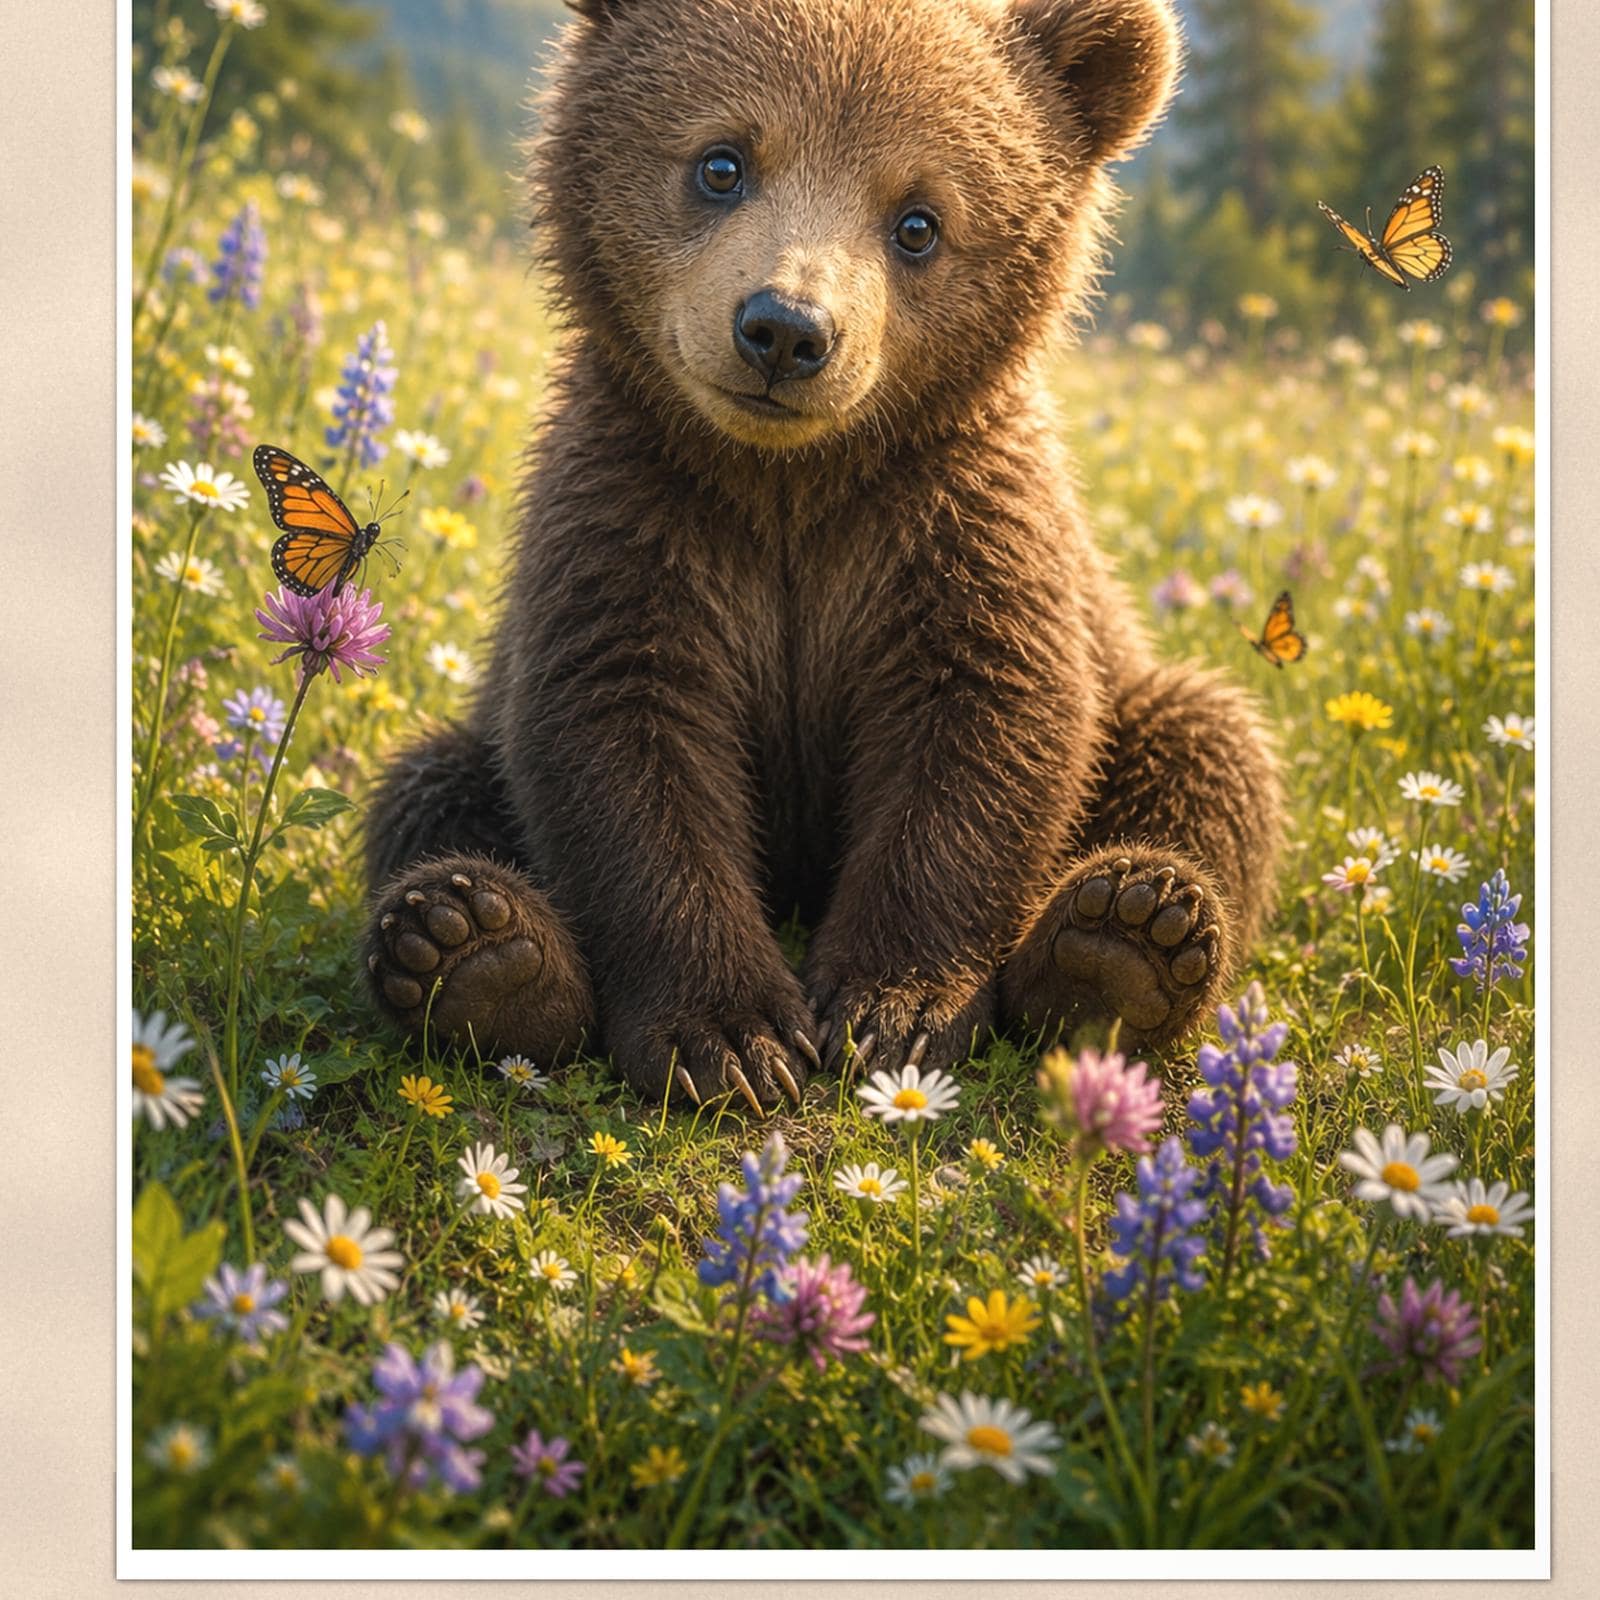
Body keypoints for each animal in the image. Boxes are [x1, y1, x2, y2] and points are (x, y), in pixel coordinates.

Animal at [362, 0, 1284, 1114]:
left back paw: (1126, 937)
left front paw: (893, 1010)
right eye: (721, 161)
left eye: (919, 220)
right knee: (429, 786)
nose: (785, 330)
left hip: (1135, 683)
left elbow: (983, 730)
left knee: (1208, 743)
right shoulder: (636, 510)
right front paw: (730, 1034)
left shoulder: (949, 528)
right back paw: (472, 947)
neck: (791, 485)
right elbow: (621, 738)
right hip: (474, 740)